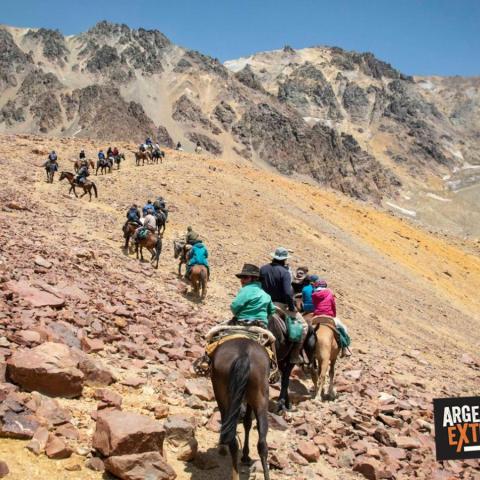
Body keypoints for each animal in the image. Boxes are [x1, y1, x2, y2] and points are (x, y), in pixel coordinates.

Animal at [212, 338, 272, 480]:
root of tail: (243, 353)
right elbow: (248, 423)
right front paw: (245, 455)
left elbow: (245, 423)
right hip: (261, 398)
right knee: (262, 444)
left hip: (223, 398)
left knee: (233, 441)